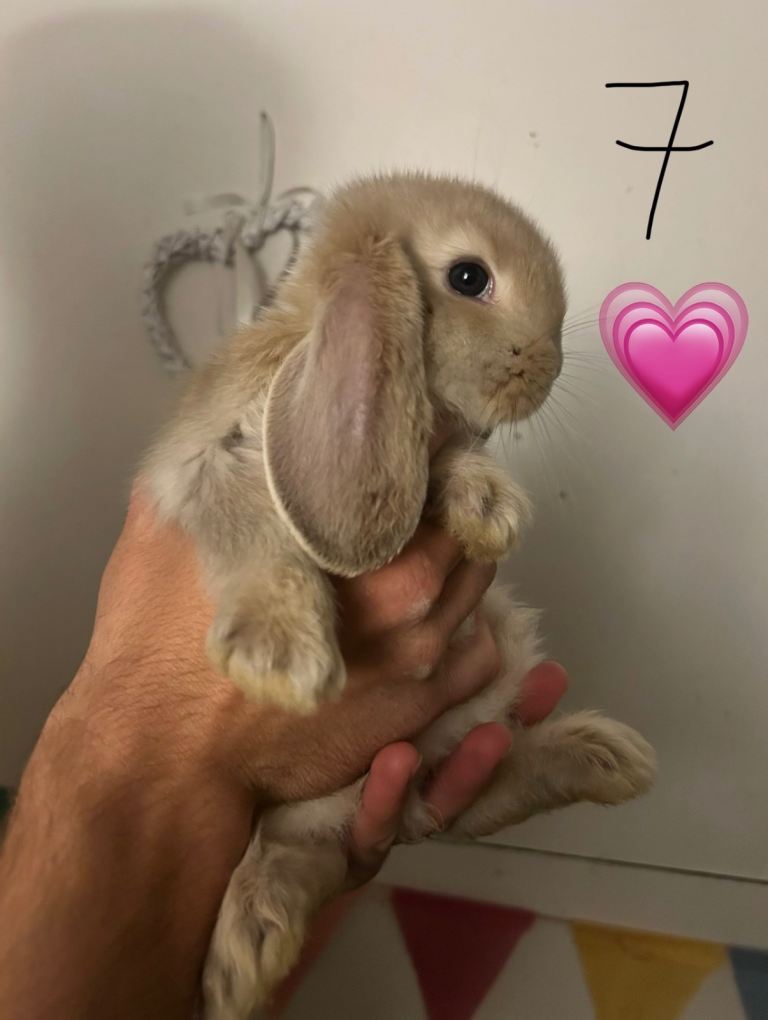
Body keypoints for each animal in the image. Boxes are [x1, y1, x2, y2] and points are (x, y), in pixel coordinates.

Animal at [142, 172, 657, 1020]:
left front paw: (487, 506)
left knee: (468, 799)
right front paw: (282, 658)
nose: (547, 368)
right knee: (306, 851)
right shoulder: (207, 465)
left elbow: (441, 464)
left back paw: (603, 757)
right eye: (469, 278)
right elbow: (254, 530)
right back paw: (246, 953)